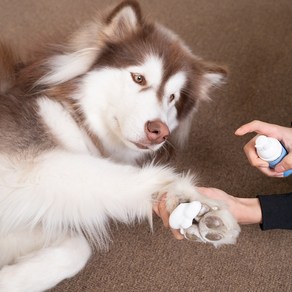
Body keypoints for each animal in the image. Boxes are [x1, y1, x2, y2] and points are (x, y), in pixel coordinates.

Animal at [0, 1, 240, 290]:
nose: (159, 132)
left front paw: (192, 210)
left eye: (172, 97)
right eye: (139, 78)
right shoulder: (32, 167)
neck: (75, 118)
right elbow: (122, 179)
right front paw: (189, 196)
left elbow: (77, 248)